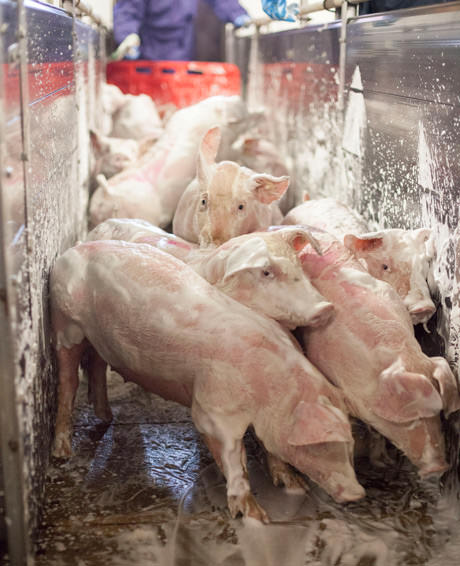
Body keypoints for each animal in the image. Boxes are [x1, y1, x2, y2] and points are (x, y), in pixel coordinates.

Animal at [51, 242, 366, 520]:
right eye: (321, 446)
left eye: (350, 445)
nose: (357, 493)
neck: (269, 389)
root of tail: (70, 251)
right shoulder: (211, 406)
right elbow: (232, 456)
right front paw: (255, 516)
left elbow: (271, 450)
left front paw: (294, 486)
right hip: (65, 323)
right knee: (67, 382)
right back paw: (62, 453)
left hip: (96, 339)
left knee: (96, 364)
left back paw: (106, 416)